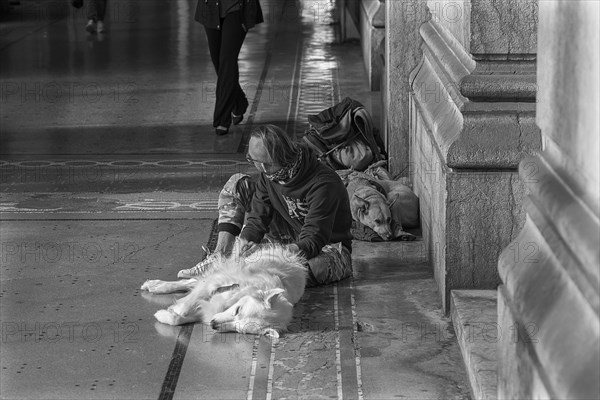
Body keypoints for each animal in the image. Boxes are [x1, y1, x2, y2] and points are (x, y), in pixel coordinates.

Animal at [141, 244, 308, 338]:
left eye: (240, 330)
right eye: (238, 310)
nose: (213, 324)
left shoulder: (207, 310)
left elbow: (178, 319)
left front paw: (165, 314)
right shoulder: (215, 281)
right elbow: (188, 303)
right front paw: (176, 309)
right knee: (191, 282)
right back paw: (155, 285)